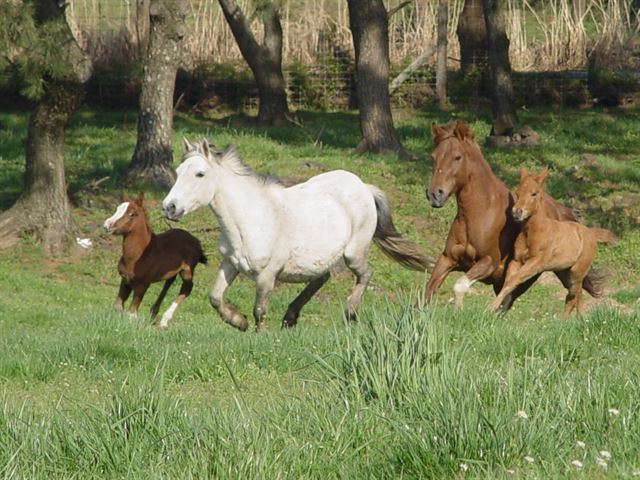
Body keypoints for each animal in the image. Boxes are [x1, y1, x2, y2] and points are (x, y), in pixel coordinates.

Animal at [104, 193, 206, 328]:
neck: (138, 255)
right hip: (172, 270)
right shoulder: (125, 280)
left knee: (187, 288)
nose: (107, 225)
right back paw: (153, 313)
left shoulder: (142, 284)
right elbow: (118, 306)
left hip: (187, 270)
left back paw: (164, 320)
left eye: (132, 214)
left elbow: (132, 312)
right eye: (117, 209)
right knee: (168, 283)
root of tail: (196, 241)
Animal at [161, 139, 436, 332]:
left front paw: (258, 333)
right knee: (321, 278)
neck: (251, 218)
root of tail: (364, 187)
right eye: (179, 170)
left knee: (365, 274)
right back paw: (290, 318)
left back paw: (349, 314)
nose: (169, 207)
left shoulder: (267, 274)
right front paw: (239, 322)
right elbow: (215, 298)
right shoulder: (230, 263)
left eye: (200, 174)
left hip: (353, 253)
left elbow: (259, 309)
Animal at [422, 119, 604, 308]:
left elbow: (460, 285)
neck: (479, 213)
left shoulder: (489, 262)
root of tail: (561, 212)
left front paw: (458, 309)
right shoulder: (447, 258)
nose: (434, 194)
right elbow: (427, 293)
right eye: (434, 156)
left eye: (457, 157)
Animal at [490, 169, 616, 316]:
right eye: (517, 192)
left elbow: (514, 279)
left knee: (573, 294)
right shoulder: (516, 261)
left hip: (577, 271)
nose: (517, 212)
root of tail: (590, 233)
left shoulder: (536, 263)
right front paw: (492, 307)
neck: (534, 232)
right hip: (564, 271)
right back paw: (578, 319)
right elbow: (509, 281)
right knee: (577, 293)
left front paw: (489, 307)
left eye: (534, 193)